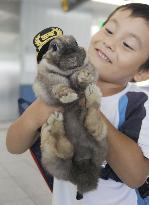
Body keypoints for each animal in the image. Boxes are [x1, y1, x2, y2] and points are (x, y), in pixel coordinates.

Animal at [32, 34, 107, 199]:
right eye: (54, 47)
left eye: (76, 42)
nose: (73, 56)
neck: (67, 72)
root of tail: (83, 161)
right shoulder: (50, 81)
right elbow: (59, 87)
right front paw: (68, 96)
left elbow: (79, 78)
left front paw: (84, 77)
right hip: (49, 155)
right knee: (64, 151)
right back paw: (55, 123)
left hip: (102, 142)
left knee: (93, 123)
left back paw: (92, 95)